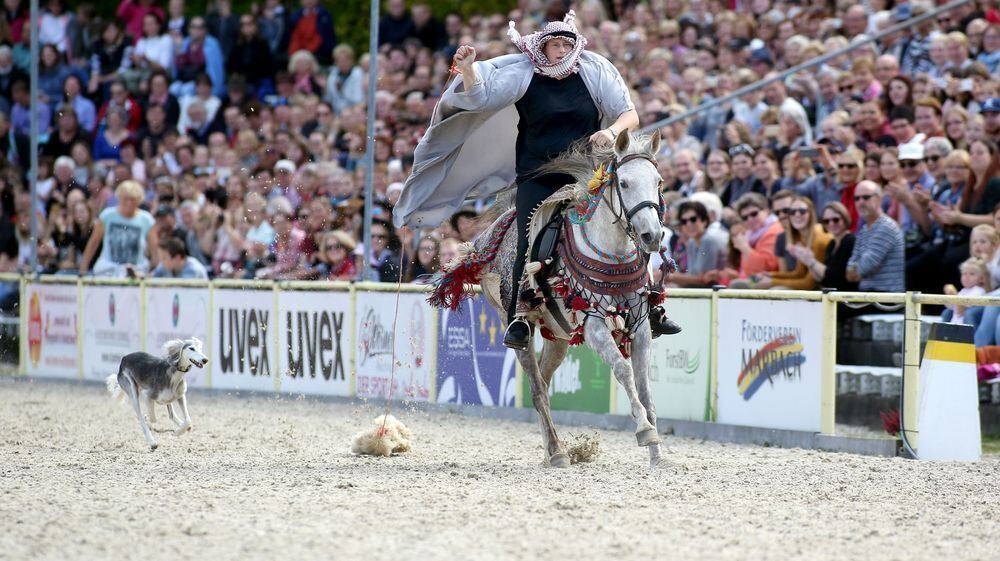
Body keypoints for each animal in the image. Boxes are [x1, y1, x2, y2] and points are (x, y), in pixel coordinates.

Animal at [428, 129, 664, 466]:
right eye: (625, 183)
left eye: (658, 181)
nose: (651, 237)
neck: (611, 253)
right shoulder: (593, 323)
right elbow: (623, 370)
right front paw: (644, 430)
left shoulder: (641, 324)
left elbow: (645, 387)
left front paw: (658, 454)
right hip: (516, 326)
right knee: (537, 388)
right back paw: (557, 452)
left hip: (558, 336)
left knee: (544, 379)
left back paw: (552, 450)